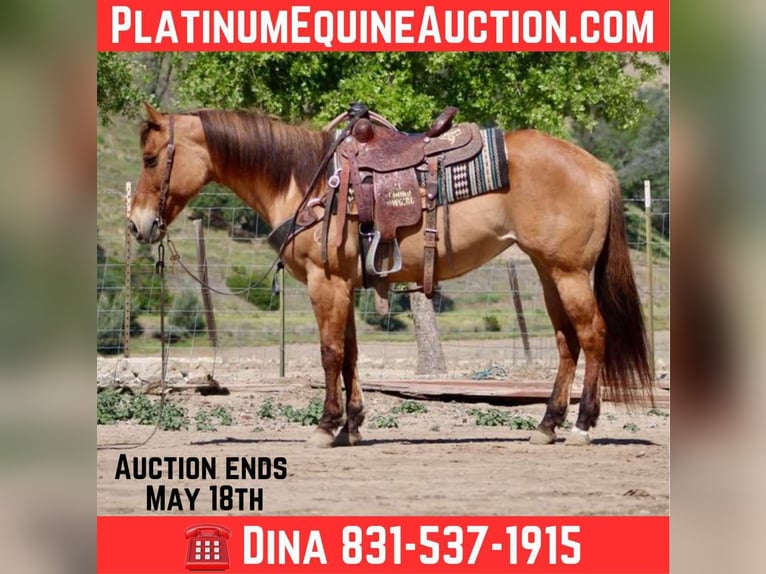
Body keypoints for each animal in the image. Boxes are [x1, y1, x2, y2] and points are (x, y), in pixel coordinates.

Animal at [129, 103, 654, 447]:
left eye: (151, 158)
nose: (137, 225)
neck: (307, 182)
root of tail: (596, 166)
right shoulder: (345, 284)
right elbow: (351, 356)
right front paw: (353, 425)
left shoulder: (325, 283)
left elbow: (330, 354)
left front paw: (325, 427)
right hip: (549, 273)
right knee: (568, 343)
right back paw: (547, 426)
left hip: (569, 273)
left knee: (593, 335)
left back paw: (583, 426)